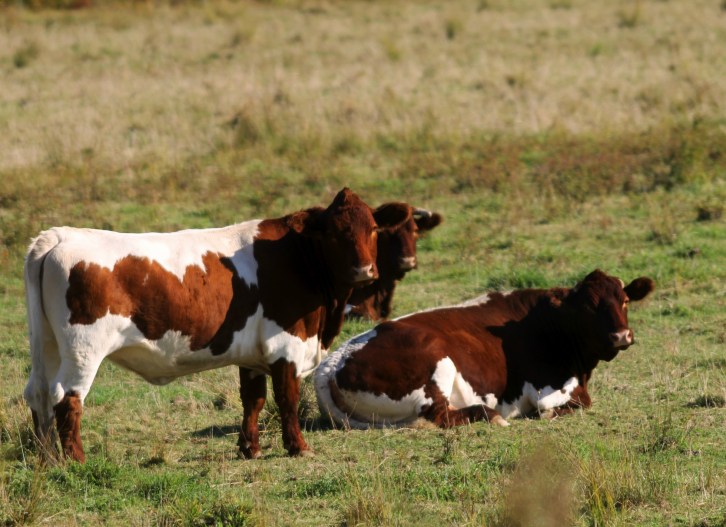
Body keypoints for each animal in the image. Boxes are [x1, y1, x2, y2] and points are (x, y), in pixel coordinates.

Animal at [23, 188, 411, 461]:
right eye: (333, 233)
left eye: (373, 229)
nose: (364, 270)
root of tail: (59, 235)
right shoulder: (285, 344)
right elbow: (287, 398)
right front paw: (297, 446)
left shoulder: (252, 352)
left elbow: (253, 400)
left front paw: (250, 449)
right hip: (82, 350)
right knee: (66, 397)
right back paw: (75, 459)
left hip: (48, 345)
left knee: (37, 393)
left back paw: (47, 459)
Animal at [315, 269, 654, 429]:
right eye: (588, 307)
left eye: (624, 300)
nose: (621, 336)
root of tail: (330, 365)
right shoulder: (546, 388)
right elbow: (576, 401)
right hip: (436, 360)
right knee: (441, 415)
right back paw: (490, 415)